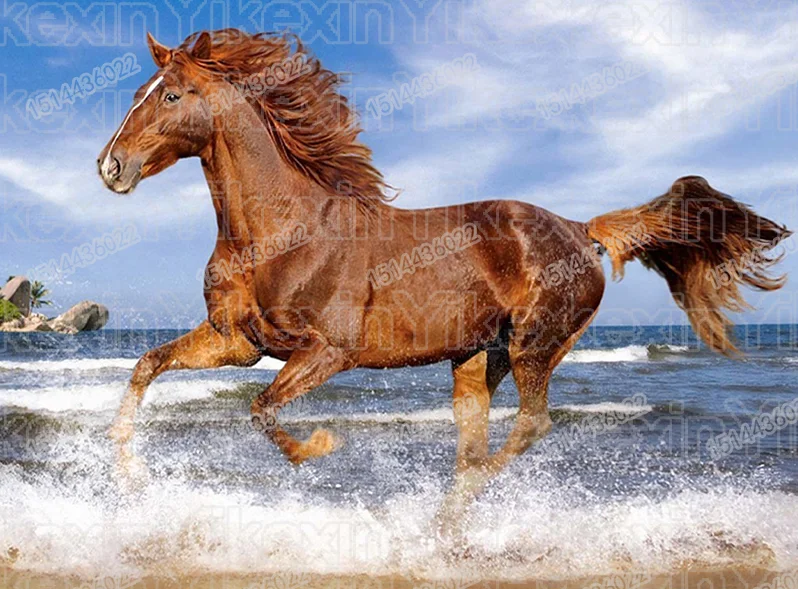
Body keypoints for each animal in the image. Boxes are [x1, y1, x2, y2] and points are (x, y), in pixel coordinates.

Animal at [97, 29, 791, 514]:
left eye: (170, 95)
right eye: (136, 94)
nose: (110, 167)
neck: (280, 231)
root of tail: (578, 227)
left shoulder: (329, 352)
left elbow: (262, 409)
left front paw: (319, 448)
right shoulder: (237, 343)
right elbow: (146, 368)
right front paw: (127, 475)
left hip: (534, 343)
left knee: (530, 426)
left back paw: (456, 504)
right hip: (477, 357)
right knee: (476, 440)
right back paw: (446, 520)